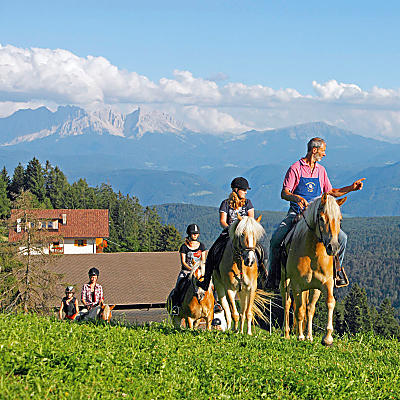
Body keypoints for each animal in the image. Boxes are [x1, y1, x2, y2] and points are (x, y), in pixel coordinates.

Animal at [280, 193, 346, 344]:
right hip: (285, 280)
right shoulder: (297, 285)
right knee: (287, 302)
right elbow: (299, 310)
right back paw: (287, 333)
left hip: (312, 287)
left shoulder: (325, 283)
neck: (313, 252)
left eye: (339, 219)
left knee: (309, 308)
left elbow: (328, 303)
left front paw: (327, 338)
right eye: (321, 218)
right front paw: (300, 336)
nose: (333, 247)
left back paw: (309, 335)